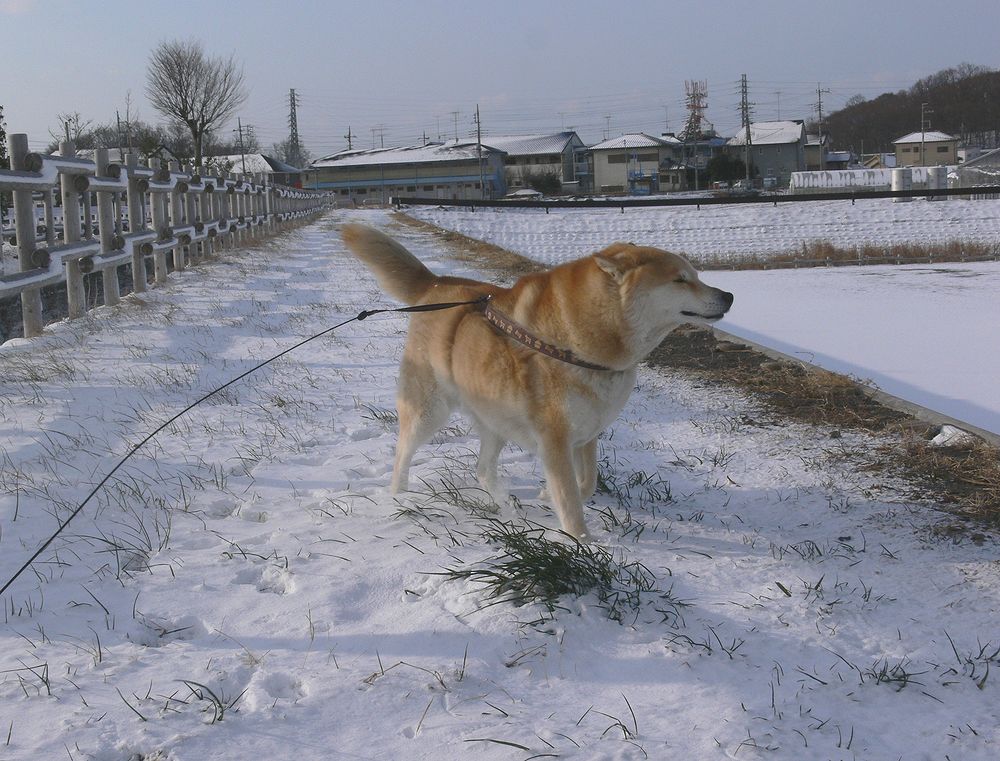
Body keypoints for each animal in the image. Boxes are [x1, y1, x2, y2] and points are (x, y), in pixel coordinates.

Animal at [340, 223, 732, 536]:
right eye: (680, 279)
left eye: (695, 275)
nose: (729, 294)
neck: (580, 342)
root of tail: (436, 285)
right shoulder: (555, 438)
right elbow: (571, 500)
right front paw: (582, 543)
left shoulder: (585, 434)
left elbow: (586, 483)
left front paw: (546, 496)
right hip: (428, 411)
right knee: (403, 455)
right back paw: (398, 498)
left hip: (495, 419)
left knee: (483, 470)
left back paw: (506, 506)